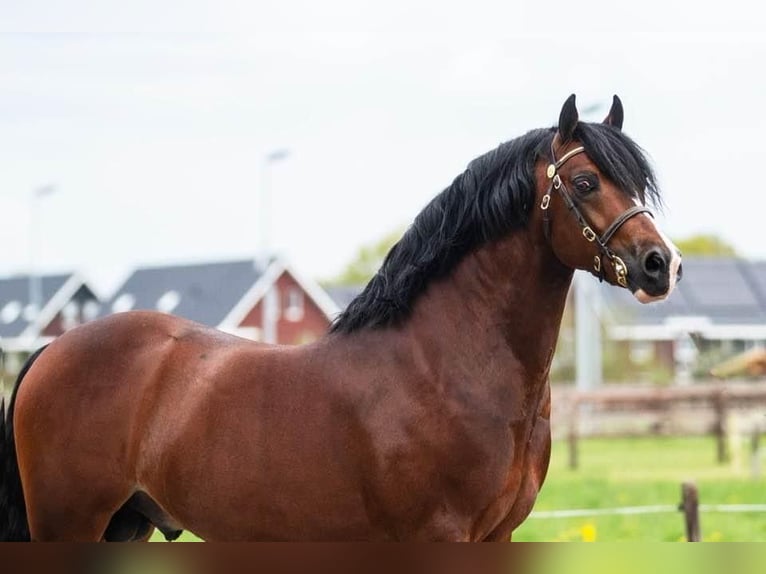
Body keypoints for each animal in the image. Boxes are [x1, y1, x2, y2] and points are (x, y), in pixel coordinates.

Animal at [1, 95, 684, 544]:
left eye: (636, 184)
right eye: (586, 181)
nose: (662, 265)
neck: (443, 366)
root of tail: (52, 351)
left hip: (125, 525)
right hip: (71, 524)